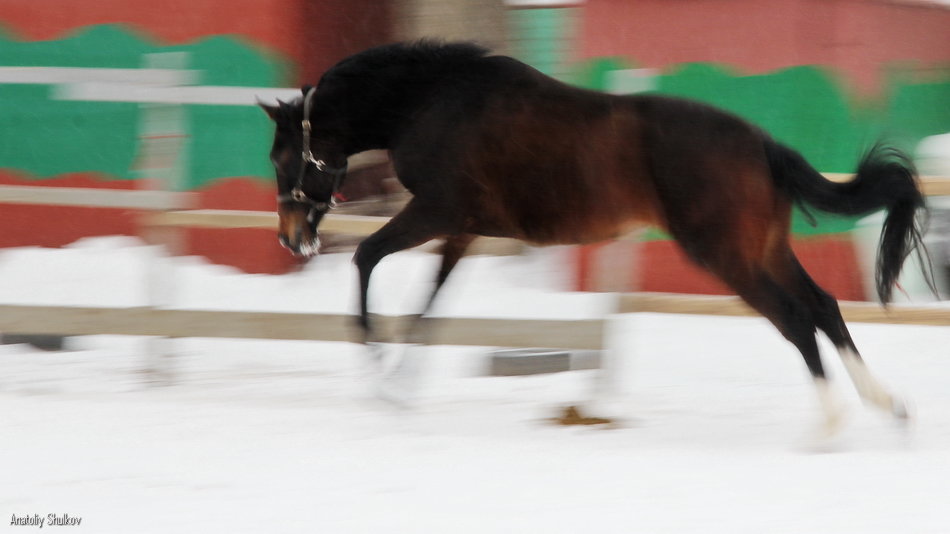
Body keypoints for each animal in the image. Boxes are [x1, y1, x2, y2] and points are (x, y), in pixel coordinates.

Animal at [262, 43, 936, 436]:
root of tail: (763, 145)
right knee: (822, 306)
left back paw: (830, 422)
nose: (291, 239)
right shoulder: (464, 229)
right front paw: (399, 384)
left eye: (281, 157)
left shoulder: (435, 211)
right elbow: (429, 305)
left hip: (725, 255)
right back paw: (888, 405)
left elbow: (369, 258)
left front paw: (376, 365)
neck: (430, 100)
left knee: (795, 317)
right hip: (762, 249)